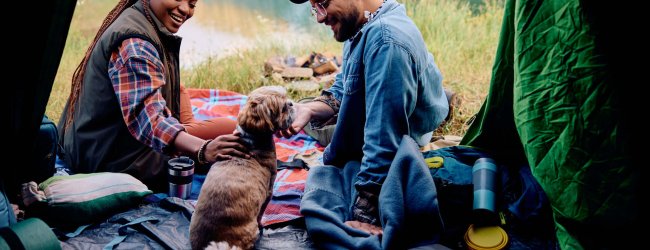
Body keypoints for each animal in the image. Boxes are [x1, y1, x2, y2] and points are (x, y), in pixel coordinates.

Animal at [190, 86, 294, 250]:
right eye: (283, 108)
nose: (291, 104)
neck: (251, 139)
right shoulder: (268, 191)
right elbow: (261, 213)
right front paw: (262, 224)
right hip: (250, 230)